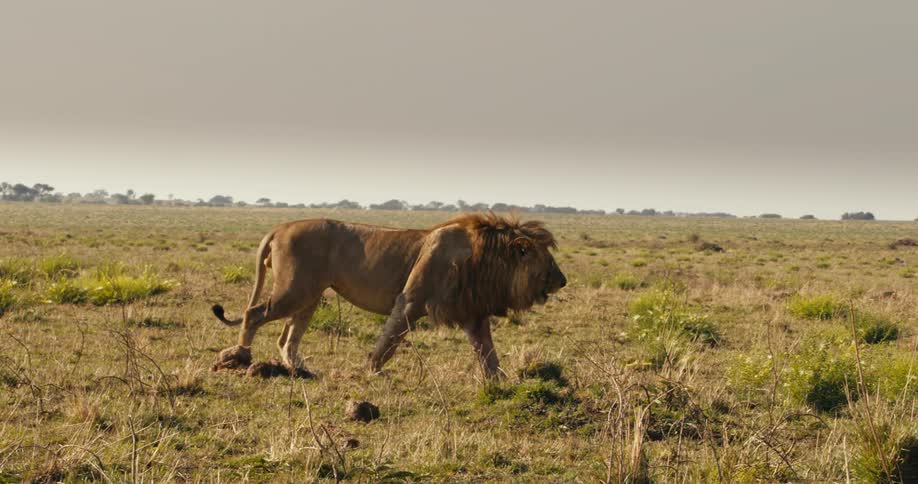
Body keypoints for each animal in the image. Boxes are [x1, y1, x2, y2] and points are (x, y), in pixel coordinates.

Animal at [211, 213, 566, 379]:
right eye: (546, 260)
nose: (563, 280)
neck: (488, 258)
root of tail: (280, 226)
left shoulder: (472, 311)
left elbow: (487, 352)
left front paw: (498, 381)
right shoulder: (410, 299)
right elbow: (390, 338)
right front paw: (373, 370)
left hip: (309, 295)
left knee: (287, 337)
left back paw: (300, 370)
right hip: (293, 290)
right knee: (253, 314)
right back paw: (240, 357)